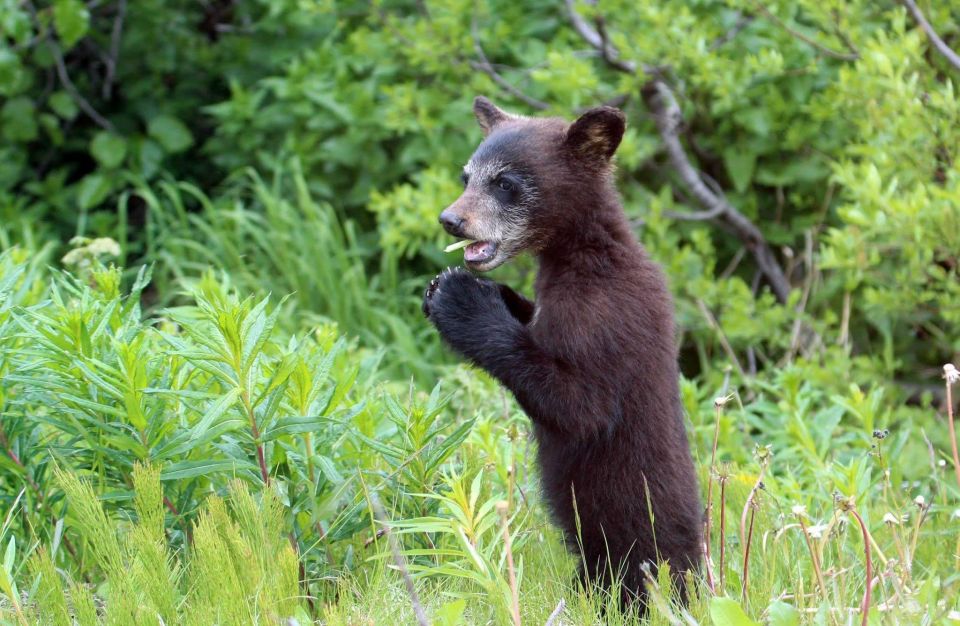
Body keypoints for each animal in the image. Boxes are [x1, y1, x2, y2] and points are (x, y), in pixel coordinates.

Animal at [424, 95, 700, 604]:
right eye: (467, 176)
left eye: (505, 183)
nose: (451, 219)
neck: (582, 253)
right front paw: (478, 290)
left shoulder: (603, 315)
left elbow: (579, 405)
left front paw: (459, 298)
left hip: (636, 544)